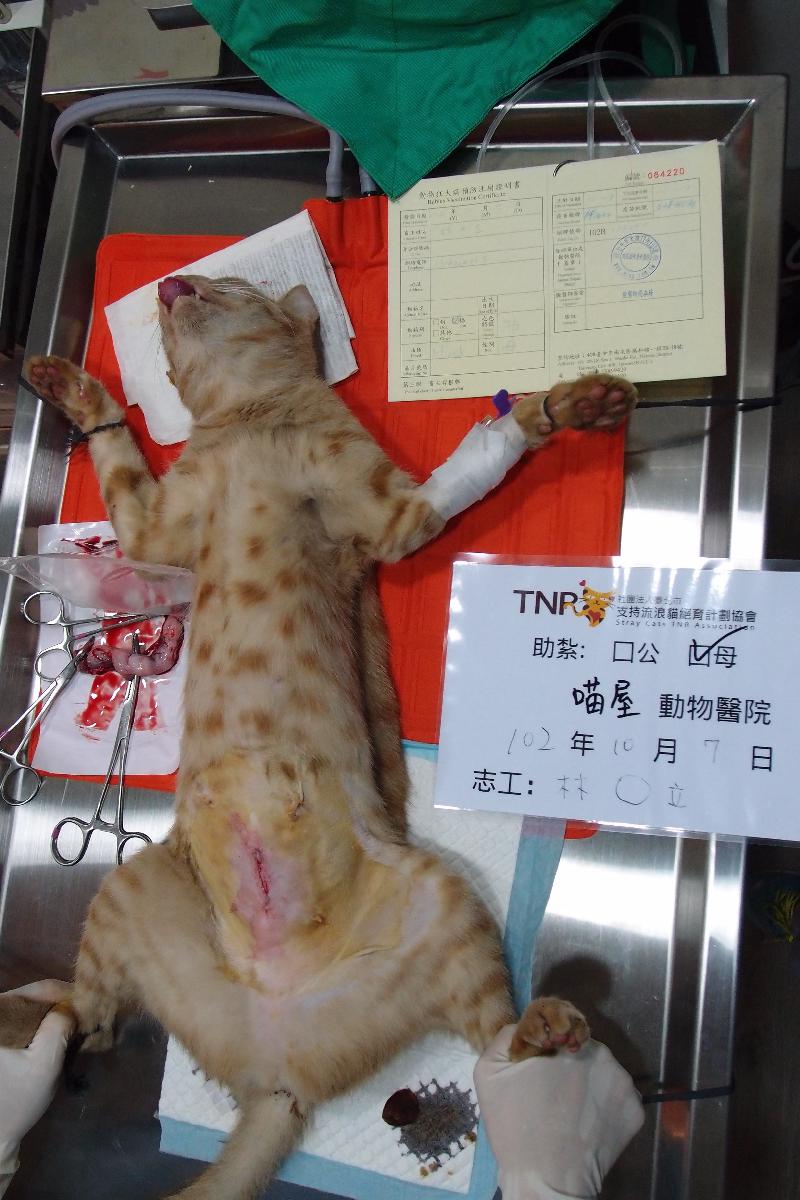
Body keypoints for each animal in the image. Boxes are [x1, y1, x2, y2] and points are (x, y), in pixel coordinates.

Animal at [14, 274, 636, 1200]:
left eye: (230, 283)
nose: (173, 284)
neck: (246, 420)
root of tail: (279, 1066)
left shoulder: (391, 513)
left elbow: (475, 459)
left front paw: (566, 404)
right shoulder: (155, 527)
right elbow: (120, 465)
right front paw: (69, 386)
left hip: (445, 906)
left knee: (496, 1039)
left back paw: (549, 1033)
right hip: (131, 889)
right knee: (87, 1018)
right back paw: (32, 1006)